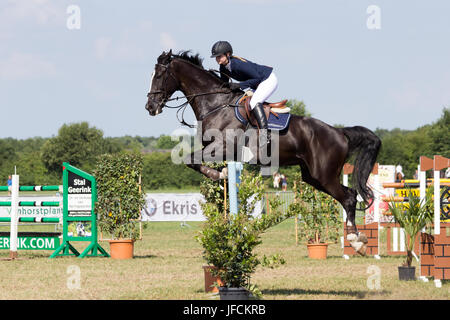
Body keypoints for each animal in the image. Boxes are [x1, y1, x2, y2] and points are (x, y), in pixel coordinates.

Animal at [146, 50, 382, 255]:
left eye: (159, 75)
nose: (150, 107)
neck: (215, 104)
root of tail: (339, 132)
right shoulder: (217, 151)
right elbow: (195, 162)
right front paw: (221, 175)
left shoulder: (222, 147)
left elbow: (190, 159)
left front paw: (218, 174)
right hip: (312, 176)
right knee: (348, 195)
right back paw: (357, 240)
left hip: (324, 174)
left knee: (349, 197)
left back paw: (355, 240)